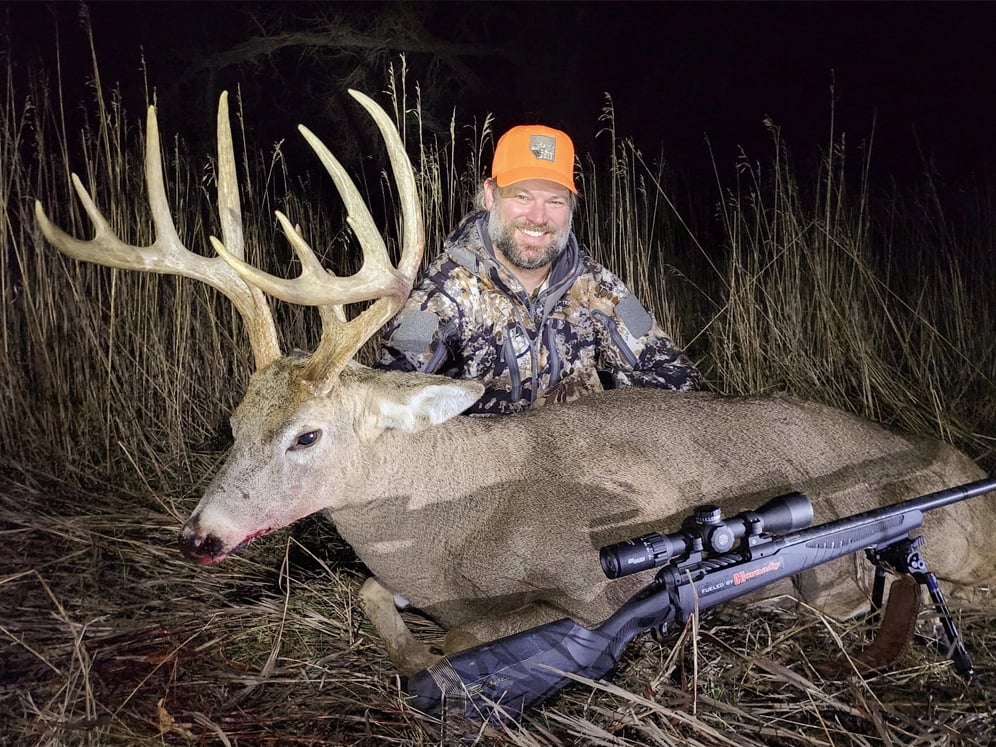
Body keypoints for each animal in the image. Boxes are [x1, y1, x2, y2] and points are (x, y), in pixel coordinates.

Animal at [35, 90, 995, 682]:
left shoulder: (590, 578)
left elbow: (466, 632)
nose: (200, 535)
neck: (448, 524)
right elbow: (370, 592)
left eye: (308, 434)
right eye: (233, 421)